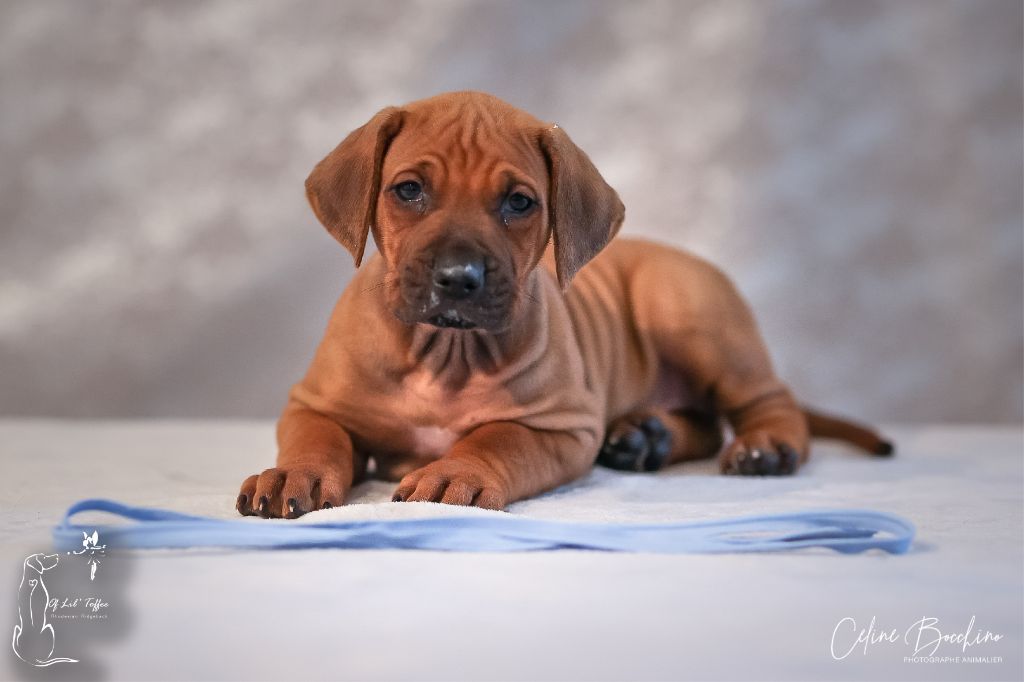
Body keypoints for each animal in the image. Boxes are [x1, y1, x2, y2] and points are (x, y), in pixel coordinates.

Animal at [237, 91, 891, 518]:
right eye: (409, 190)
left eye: (519, 202)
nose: (458, 278)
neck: (445, 350)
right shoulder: (314, 403)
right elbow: (317, 438)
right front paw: (291, 473)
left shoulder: (557, 424)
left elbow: (496, 438)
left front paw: (454, 471)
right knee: (705, 426)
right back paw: (645, 437)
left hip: (687, 314)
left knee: (768, 402)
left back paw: (763, 448)